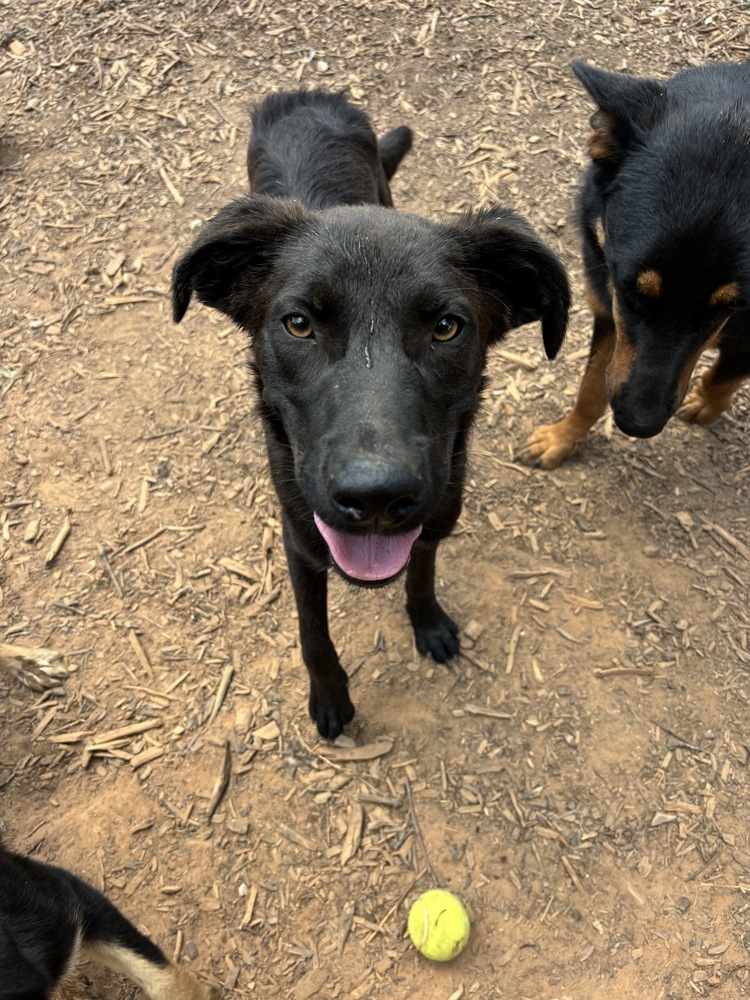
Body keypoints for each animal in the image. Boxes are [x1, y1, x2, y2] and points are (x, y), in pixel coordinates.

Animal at [172, 90, 568, 740]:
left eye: (446, 327)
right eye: (298, 323)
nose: (376, 496)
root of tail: (311, 97)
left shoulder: (439, 510)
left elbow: (423, 571)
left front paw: (427, 622)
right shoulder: (300, 536)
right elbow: (312, 630)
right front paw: (330, 696)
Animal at [524, 61, 750, 468]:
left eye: (732, 305)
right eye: (630, 290)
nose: (638, 426)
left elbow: (725, 375)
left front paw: (707, 404)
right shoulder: (610, 315)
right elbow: (590, 390)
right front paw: (561, 438)